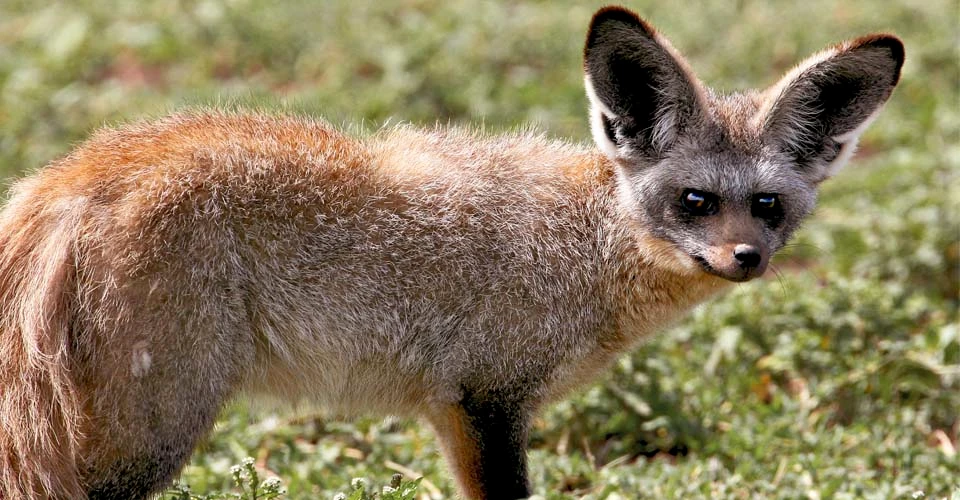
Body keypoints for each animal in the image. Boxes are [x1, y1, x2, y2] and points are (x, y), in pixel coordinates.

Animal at [0, 5, 903, 500]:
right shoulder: (486, 399)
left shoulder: (457, 410)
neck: (584, 246)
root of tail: (70, 174)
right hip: (152, 434)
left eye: (768, 207)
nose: (745, 257)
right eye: (694, 202)